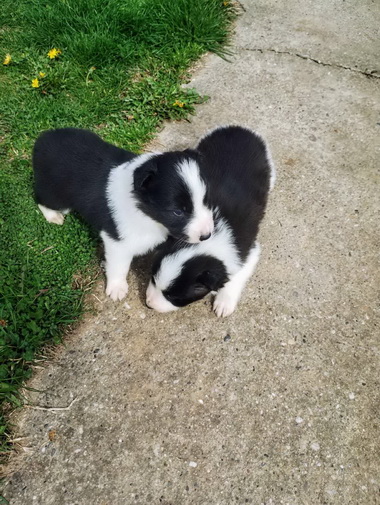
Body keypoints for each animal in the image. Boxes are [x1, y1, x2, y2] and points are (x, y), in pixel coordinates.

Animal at [33, 128, 214, 300]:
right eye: (177, 212)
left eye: (206, 200)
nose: (206, 236)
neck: (146, 212)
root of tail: (43, 139)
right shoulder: (117, 241)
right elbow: (119, 265)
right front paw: (116, 287)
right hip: (55, 193)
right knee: (40, 198)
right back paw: (53, 216)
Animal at [146, 124, 276, 316]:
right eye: (153, 278)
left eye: (173, 297)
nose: (149, 303)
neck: (211, 237)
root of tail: (239, 129)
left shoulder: (248, 252)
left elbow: (236, 277)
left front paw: (224, 302)